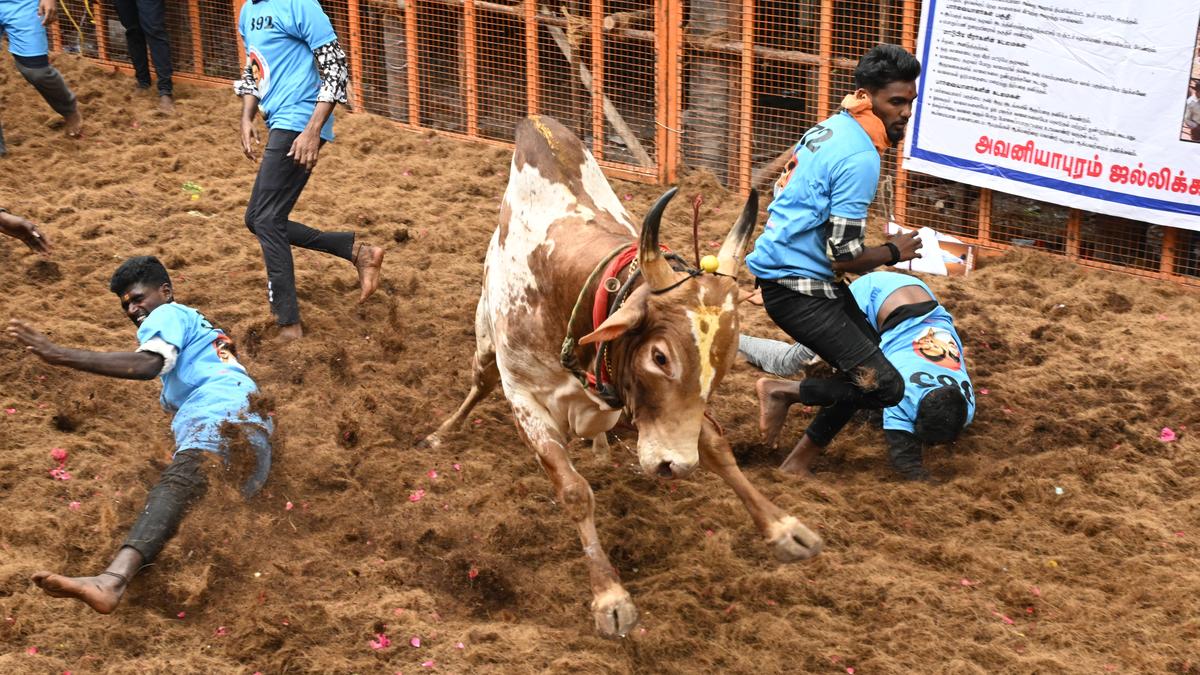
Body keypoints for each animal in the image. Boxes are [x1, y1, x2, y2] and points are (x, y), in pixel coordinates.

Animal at [427, 115, 820, 634]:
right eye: (660, 357)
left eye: (724, 357)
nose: (676, 466)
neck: (569, 290)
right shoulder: (526, 400)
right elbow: (574, 491)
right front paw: (609, 596)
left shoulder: (644, 405)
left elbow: (716, 448)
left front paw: (785, 529)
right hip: (485, 347)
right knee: (478, 384)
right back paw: (442, 432)